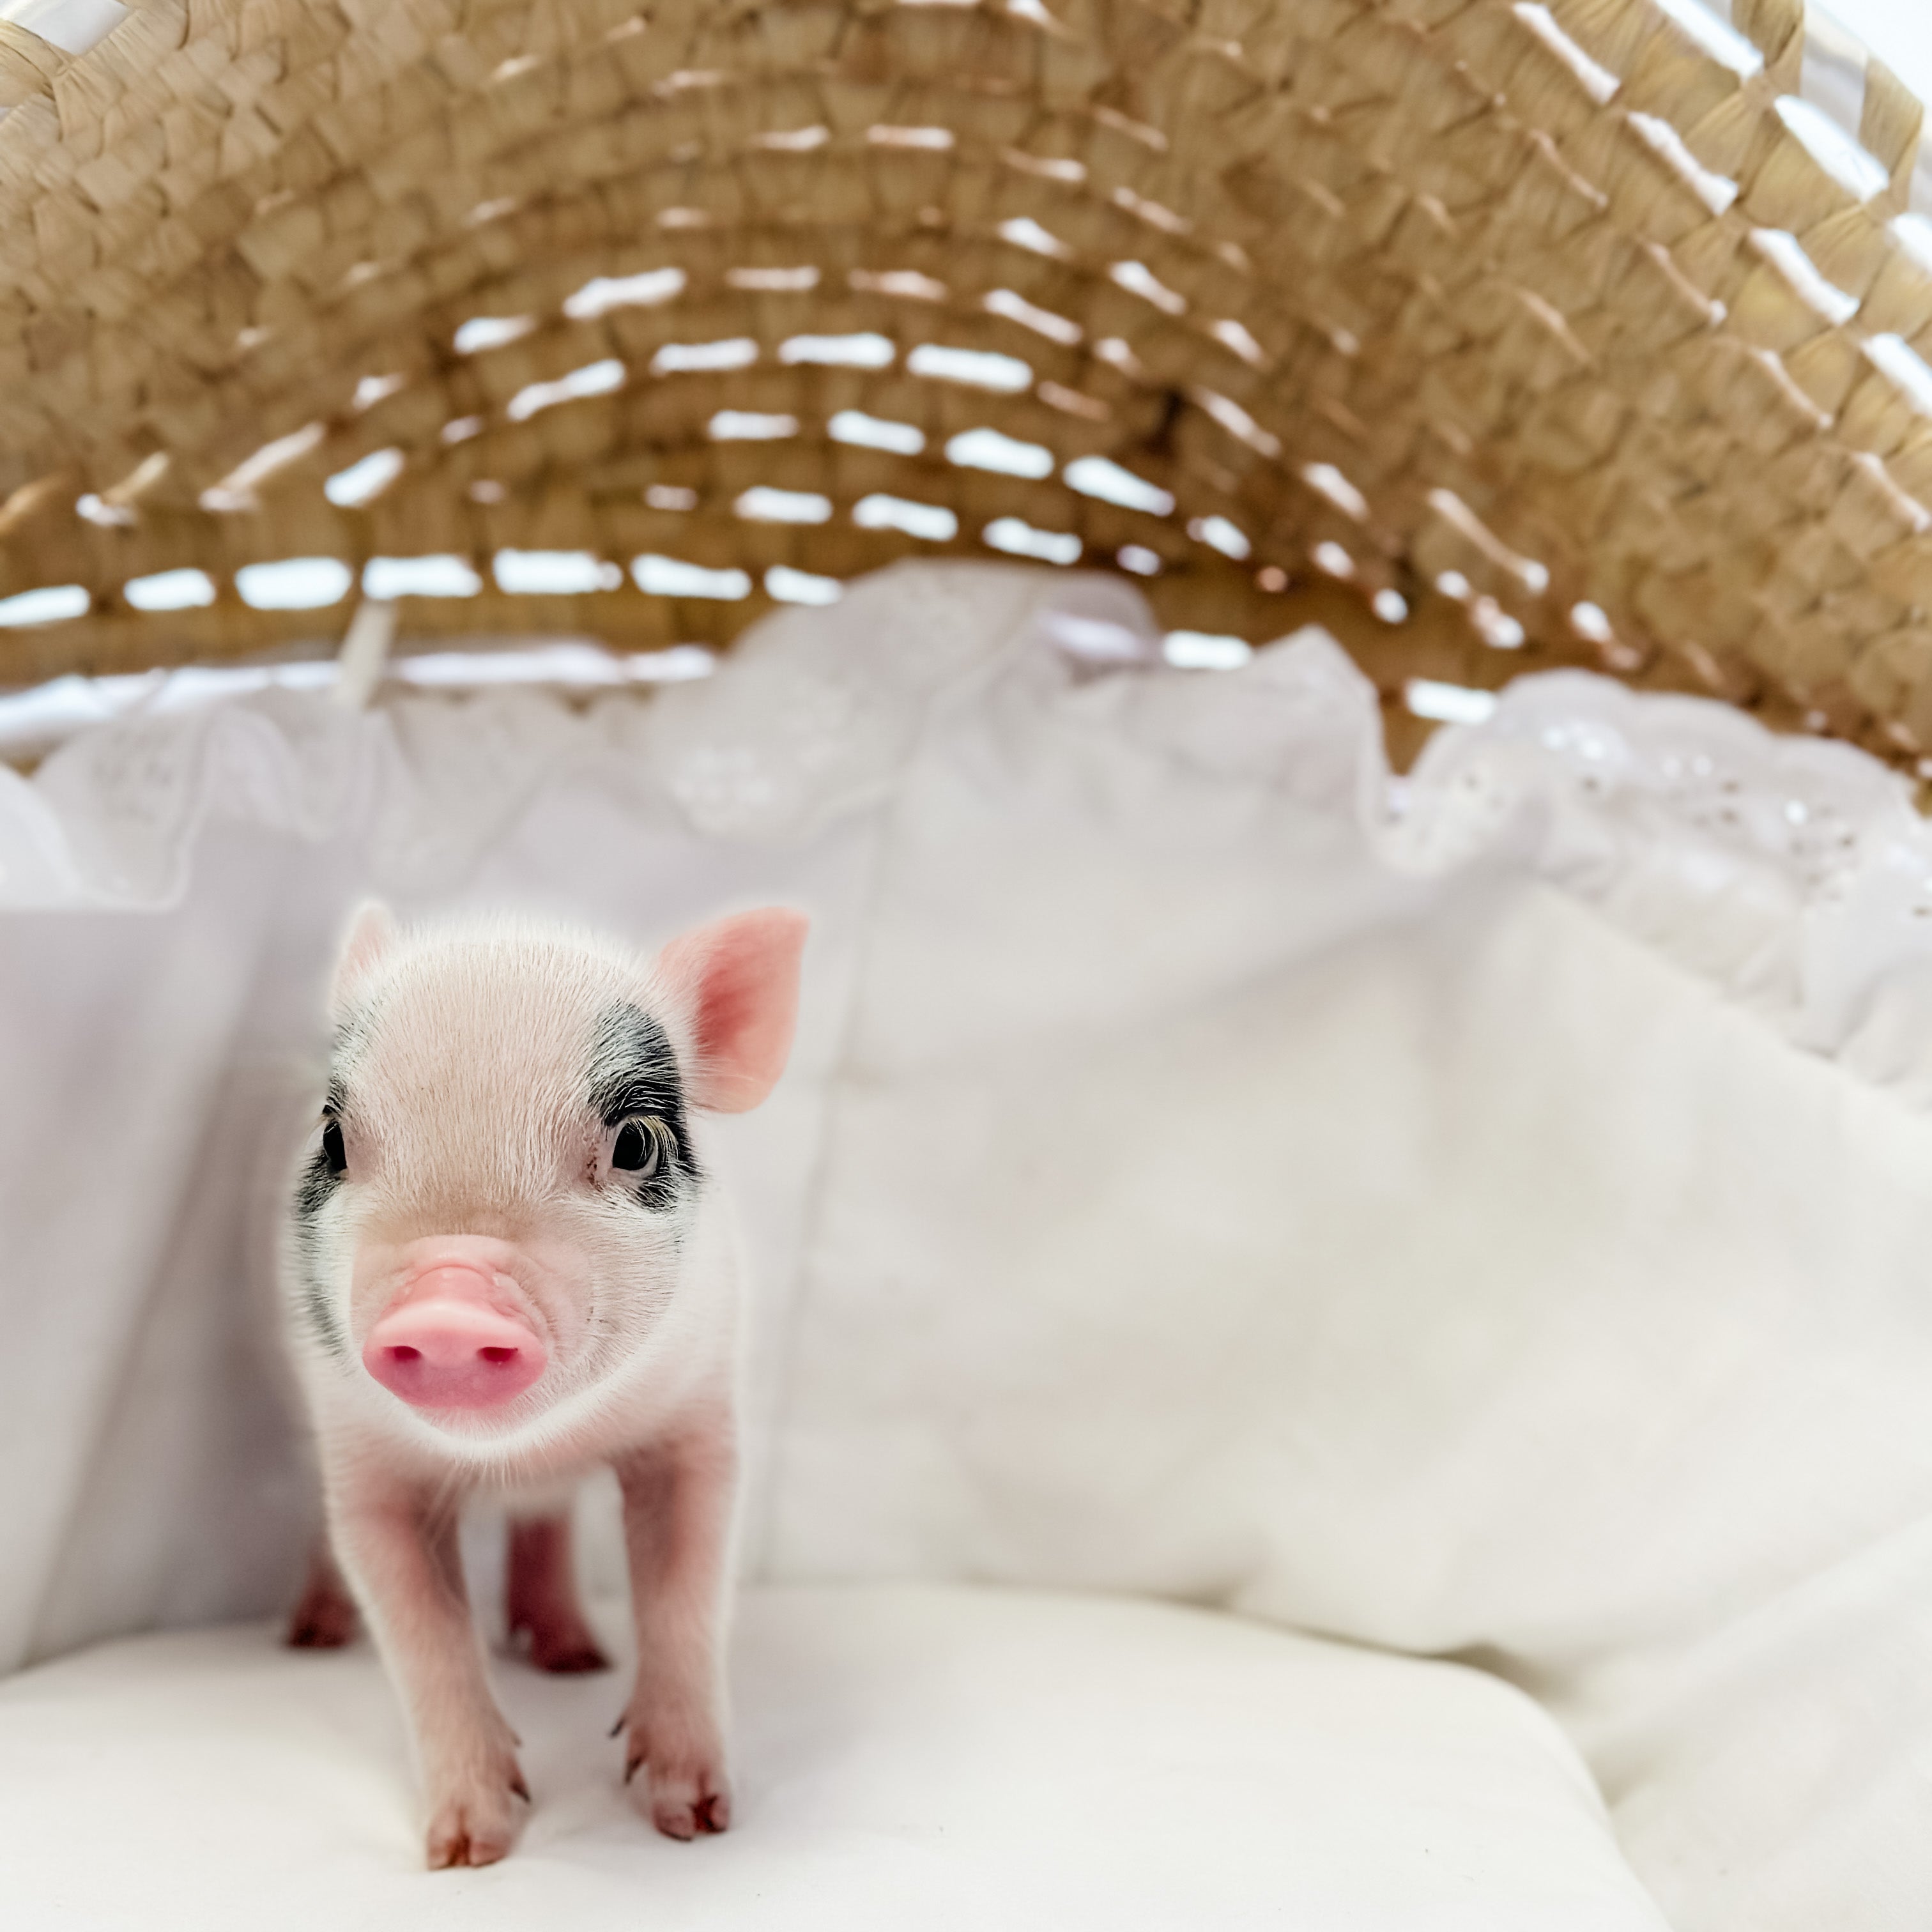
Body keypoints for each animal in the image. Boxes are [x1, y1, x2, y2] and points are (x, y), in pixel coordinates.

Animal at [278, 902, 807, 1868]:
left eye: (635, 1144)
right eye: (333, 1138)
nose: (447, 1308)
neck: (524, 1452)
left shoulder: (698, 1417)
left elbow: (685, 1592)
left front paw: (697, 1822)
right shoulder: (363, 1458)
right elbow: (422, 1630)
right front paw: (464, 1852)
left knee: (550, 1522)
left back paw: (575, 1658)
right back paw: (309, 1639)